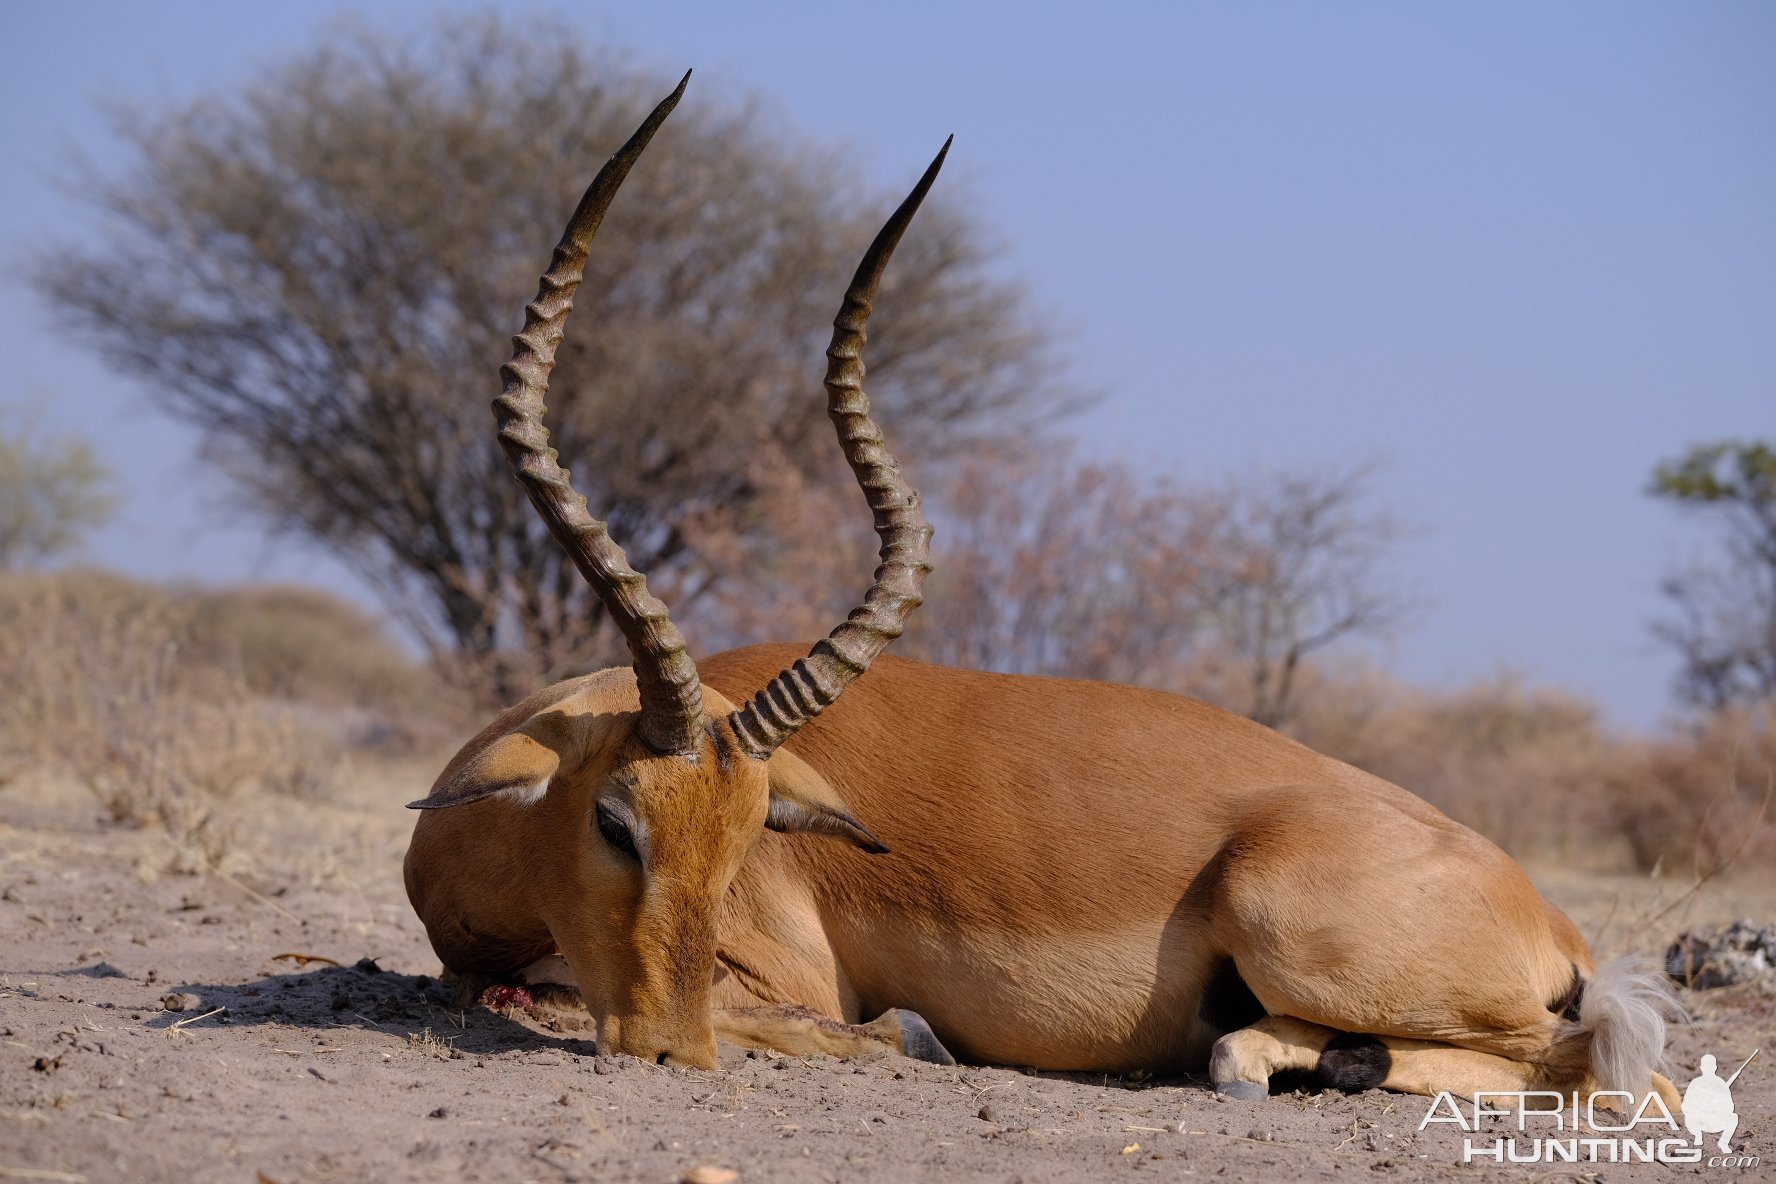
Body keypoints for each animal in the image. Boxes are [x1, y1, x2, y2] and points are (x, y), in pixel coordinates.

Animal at [403, 74, 1676, 1114]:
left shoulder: (782, 971)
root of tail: (1544, 912)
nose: (672, 1050)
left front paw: (908, 1035)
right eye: (616, 818)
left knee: (1590, 1060)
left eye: (747, 837)